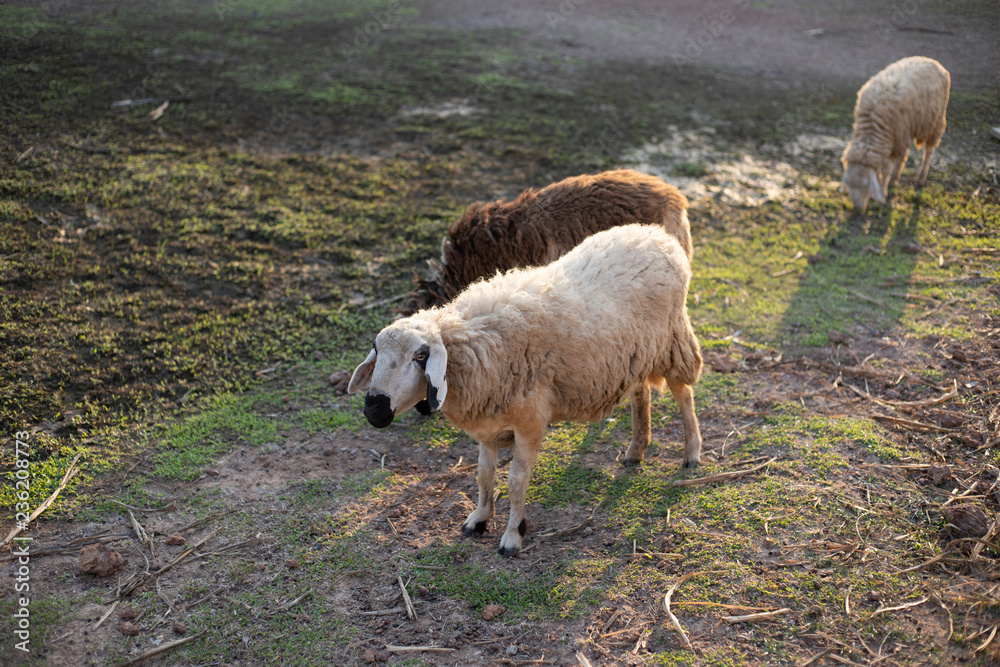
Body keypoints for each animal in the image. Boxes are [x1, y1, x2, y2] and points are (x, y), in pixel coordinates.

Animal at [348, 224, 703, 557]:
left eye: (420, 356)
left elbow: (516, 482)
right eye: (376, 350)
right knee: (641, 392)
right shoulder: (488, 421)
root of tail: (655, 233)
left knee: (683, 393)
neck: (474, 345)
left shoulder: (530, 421)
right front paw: (479, 518)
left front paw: (513, 535)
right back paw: (635, 450)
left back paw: (692, 453)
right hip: (635, 354)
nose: (374, 407)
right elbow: (484, 474)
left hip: (672, 340)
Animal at [840, 56, 950, 209]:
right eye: (849, 184)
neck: (872, 125)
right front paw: (883, 186)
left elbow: (886, 169)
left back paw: (920, 179)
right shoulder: (895, 136)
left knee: (929, 151)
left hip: (933, 121)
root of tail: (931, 60)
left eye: (865, 184)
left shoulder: (895, 136)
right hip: (905, 130)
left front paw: (882, 193)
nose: (857, 207)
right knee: (904, 153)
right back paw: (895, 179)